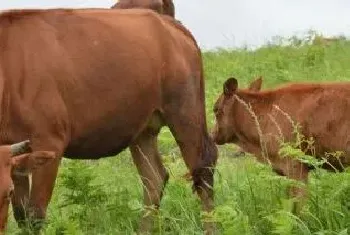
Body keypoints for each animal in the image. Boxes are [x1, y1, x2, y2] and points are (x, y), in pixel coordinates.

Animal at [0, 8, 216, 234]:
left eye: (7, 192)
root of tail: (169, 23)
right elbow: (22, 215)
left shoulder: (49, 141)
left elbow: (35, 215)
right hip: (142, 129)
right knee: (154, 178)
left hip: (186, 113)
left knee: (203, 172)